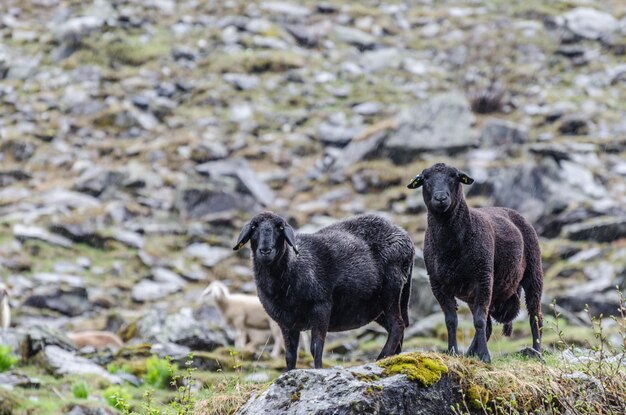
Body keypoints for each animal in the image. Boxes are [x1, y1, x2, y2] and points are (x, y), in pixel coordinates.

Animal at [232, 213, 412, 372]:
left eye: (280, 228)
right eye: (254, 227)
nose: (265, 251)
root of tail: (404, 236)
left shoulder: (321, 307)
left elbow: (316, 347)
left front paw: (318, 370)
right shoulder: (286, 321)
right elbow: (290, 354)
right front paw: (289, 373)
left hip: (391, 289)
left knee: (397, 325)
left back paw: (382, 358)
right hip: (376, 306)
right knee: (397, 327)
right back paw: (394, 358)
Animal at [408, 163, 540, 364]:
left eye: (454, 177)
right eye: (426, 179)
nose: (440, 198)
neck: (451, 247)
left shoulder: (483, 278)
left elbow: (478, 320)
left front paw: (485, 356)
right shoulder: (438, 285)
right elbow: (451, 321)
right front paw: (453, 352)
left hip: (532, 271)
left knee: (535, 315)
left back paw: (537, 351)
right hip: (473, 293)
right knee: (488, 326)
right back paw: (470, 353)